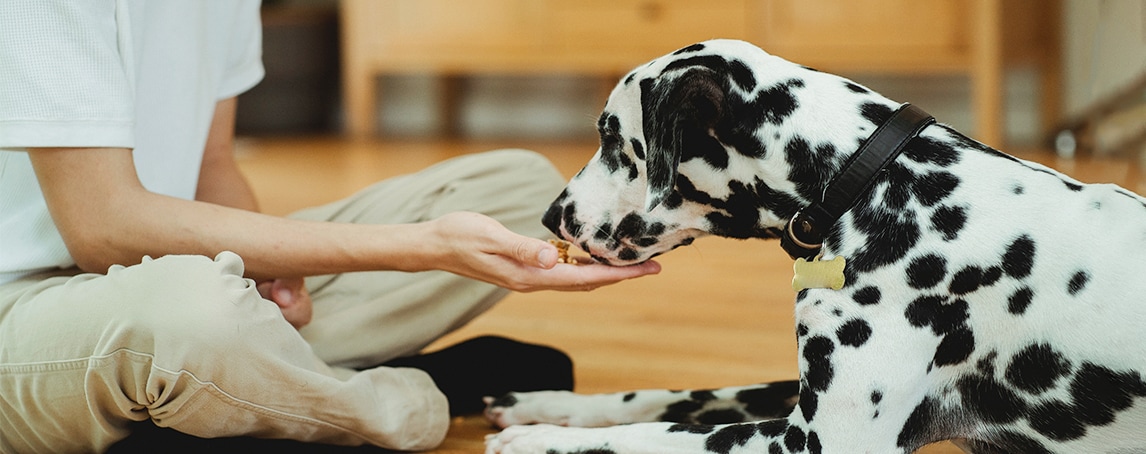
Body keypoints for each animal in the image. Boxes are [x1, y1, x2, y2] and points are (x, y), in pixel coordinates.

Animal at [481, 39, 1146, 454]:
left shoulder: (810, 440)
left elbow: (657, 435)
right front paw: (545, 406)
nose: (551, 215)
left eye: (612, 137)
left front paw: (541, 439)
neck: (874, 184)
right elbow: (668, 399)